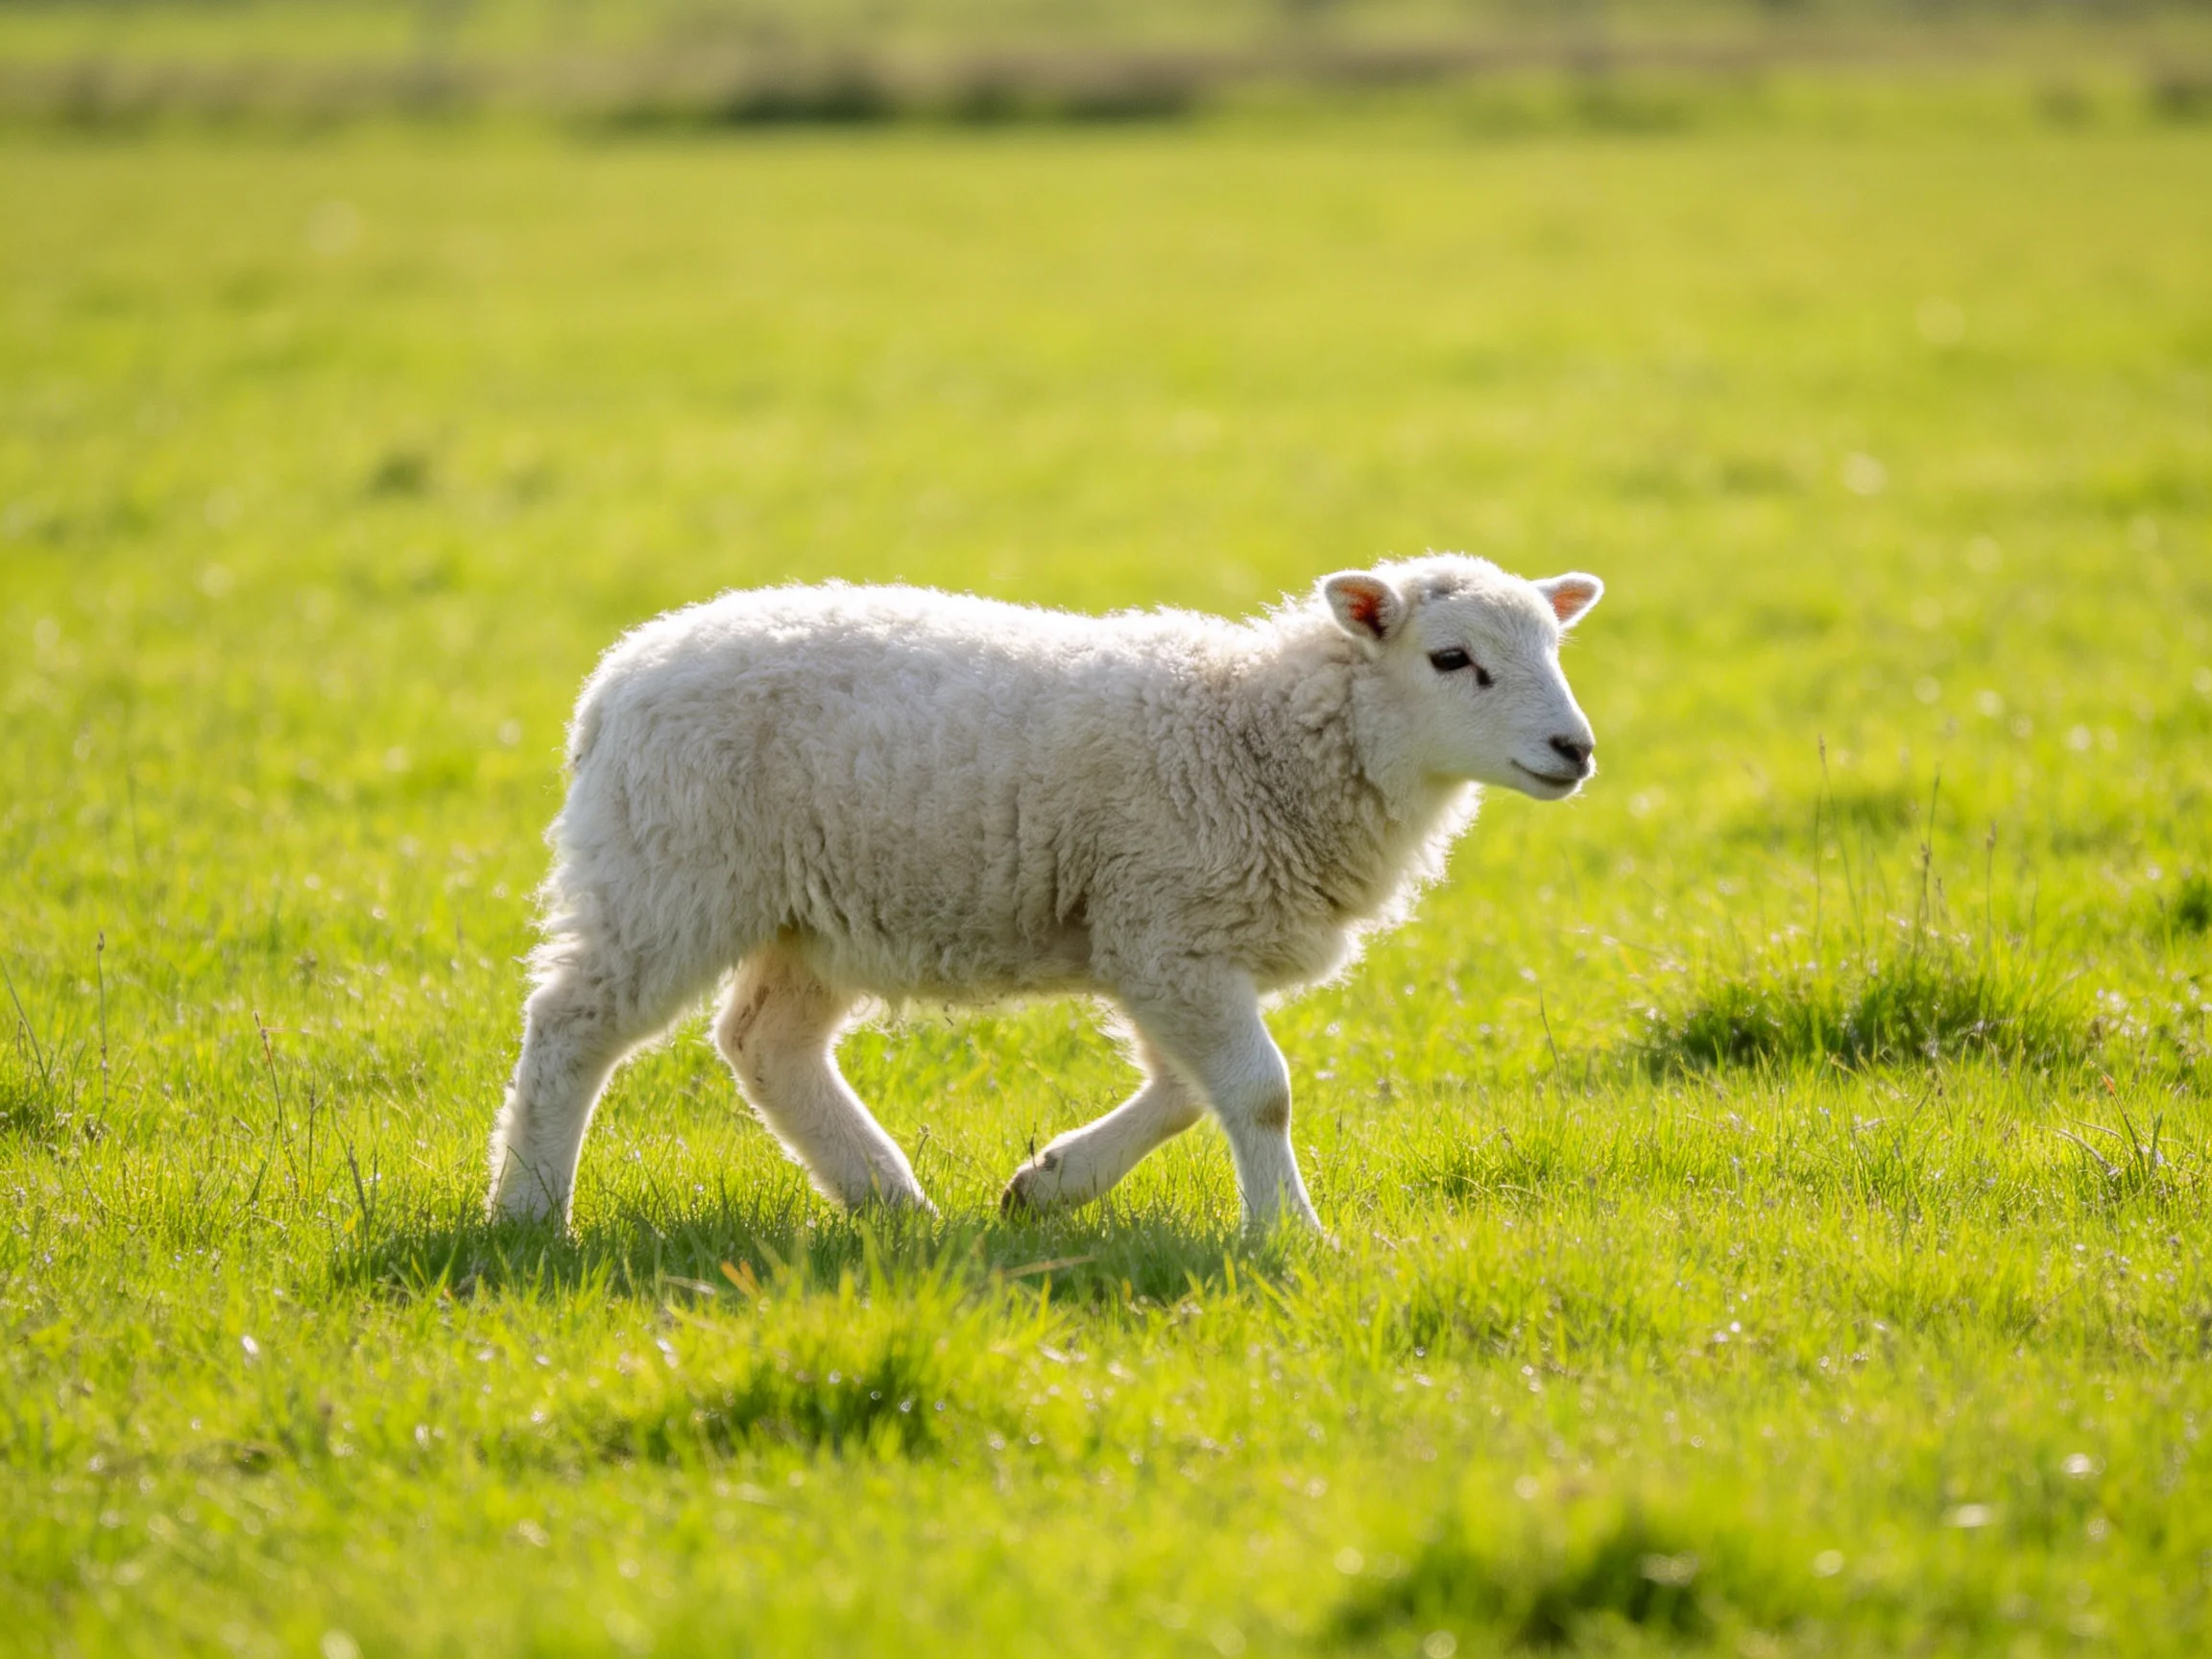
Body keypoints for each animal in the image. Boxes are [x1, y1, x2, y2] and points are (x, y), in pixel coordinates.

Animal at [487, 554, 1604, 1233]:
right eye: (1452, 658)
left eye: (1555, 652)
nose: (1575, 750)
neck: (1257, 732)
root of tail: (616, 680)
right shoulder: (1169, 931)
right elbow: (1258, 1092)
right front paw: (1292, 1236)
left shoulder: (1154, 939)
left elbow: (1186, 1093)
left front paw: (1050, 1185)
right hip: (668, 876)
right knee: (572, 1027)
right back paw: (530, 1212)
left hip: (815, 917)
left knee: (767, 1044)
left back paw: (892, 1203)